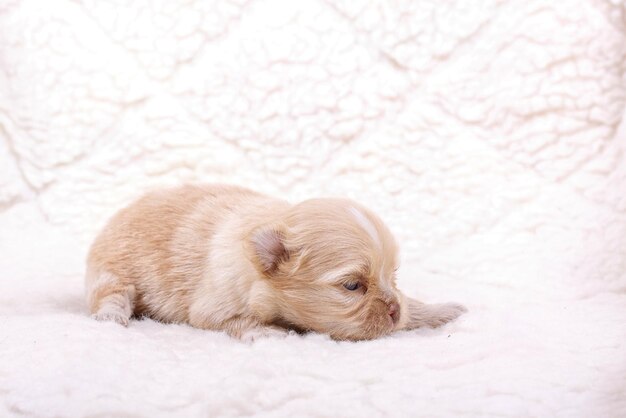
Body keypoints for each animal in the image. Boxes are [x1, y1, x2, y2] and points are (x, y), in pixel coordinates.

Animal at [85, 185, 466, 342]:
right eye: (352, 286)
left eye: (394, 276)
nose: (393, 312)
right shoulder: (213, 306)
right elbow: (238, 321)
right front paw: (269, 332)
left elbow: (415, 304)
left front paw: (439, 311)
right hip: (111, 267)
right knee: (111, 294)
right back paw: (113, 315)